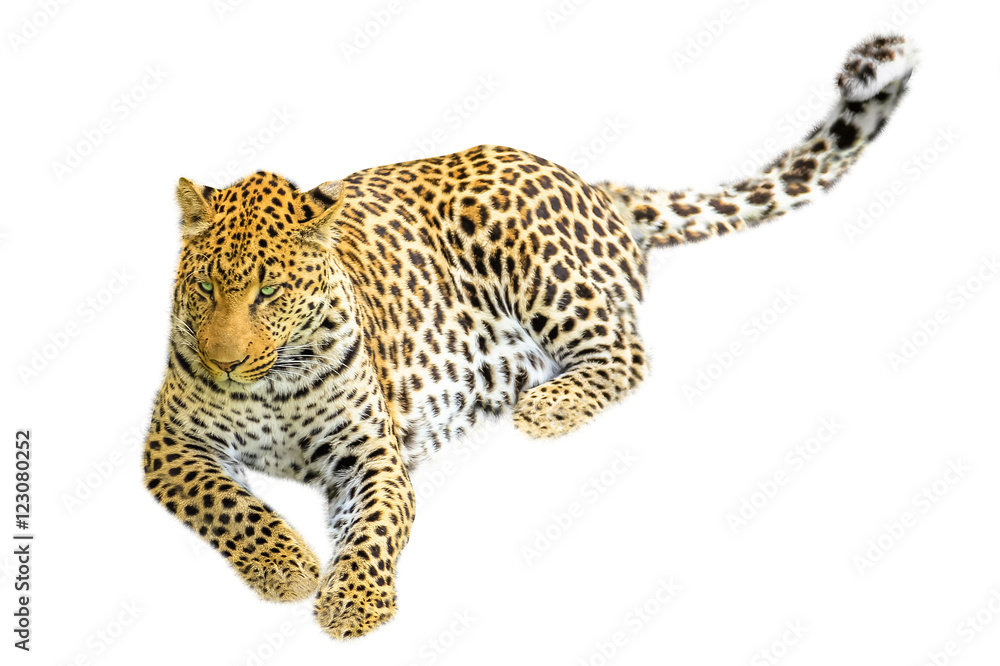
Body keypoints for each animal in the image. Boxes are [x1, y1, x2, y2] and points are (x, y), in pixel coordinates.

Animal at [143, 35, 917, 639]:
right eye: (205, 287)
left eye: (269, 293)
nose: (224, 362)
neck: (275, 381)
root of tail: (590, 184)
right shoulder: (172, 445)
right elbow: (233, 505)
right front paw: (287, 567)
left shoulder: (370, 455)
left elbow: (374, 529)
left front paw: (352, 603)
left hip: (525, 249)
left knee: (626, 350)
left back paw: (546, 405)